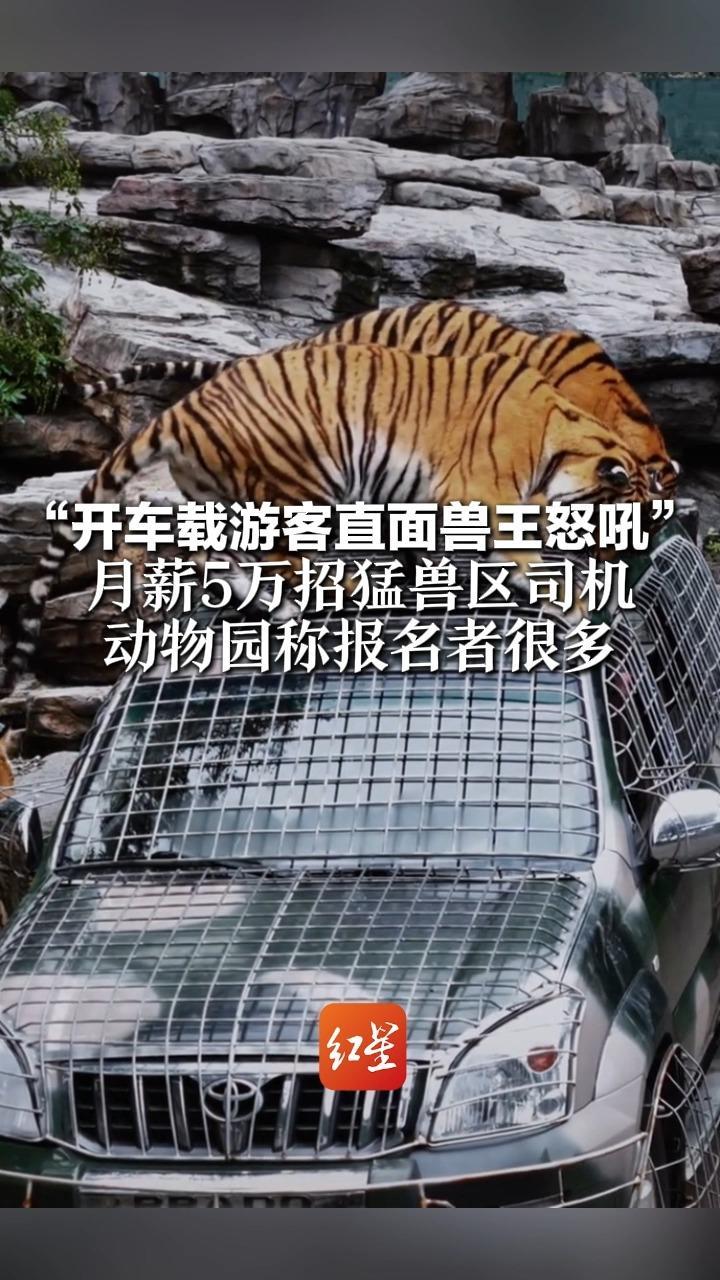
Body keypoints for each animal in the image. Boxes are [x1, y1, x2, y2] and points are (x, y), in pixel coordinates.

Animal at [3, 343, 648, 693]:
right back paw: (332, 601)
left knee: (221, 559)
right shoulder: (485, 501)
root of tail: (185, 408)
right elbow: (536, 567)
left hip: (230, 497)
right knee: (284, 567)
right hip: (298, 489)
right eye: (617, 532)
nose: (622, 570)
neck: (558, 442)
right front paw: (584, 608)